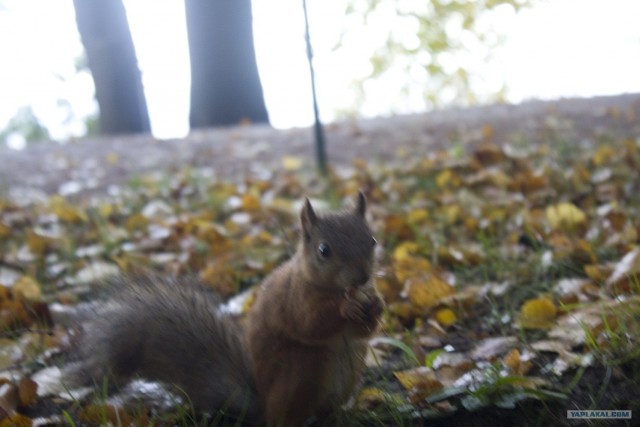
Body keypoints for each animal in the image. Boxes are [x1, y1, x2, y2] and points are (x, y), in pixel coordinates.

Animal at [76, 192, 384, 426]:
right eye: (324, 250)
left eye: (372, 241)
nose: (362, 278)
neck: (326, 286)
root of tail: (263, 407)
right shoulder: (294, 299)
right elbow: (310, 323)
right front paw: (346, 307)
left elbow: (364, 331)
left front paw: (377, 304)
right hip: (304, 371)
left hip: (348, 374)